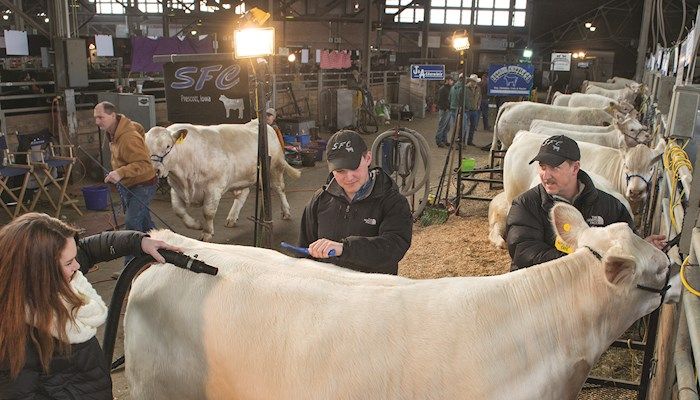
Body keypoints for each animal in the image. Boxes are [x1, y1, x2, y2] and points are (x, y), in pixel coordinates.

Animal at [145, 119, 300, 241]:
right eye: (146, 147)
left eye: (168, 146)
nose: (155, 170)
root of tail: (261, 123)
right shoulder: (176, 187)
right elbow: (178, 211)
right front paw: (195, 224)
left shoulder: (213, 187)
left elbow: (208, 212)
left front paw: (207, 233)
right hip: (241, 176)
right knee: (243, 194)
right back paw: (232, 218)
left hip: (274, 169)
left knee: (280, 188)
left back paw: (286, 211)